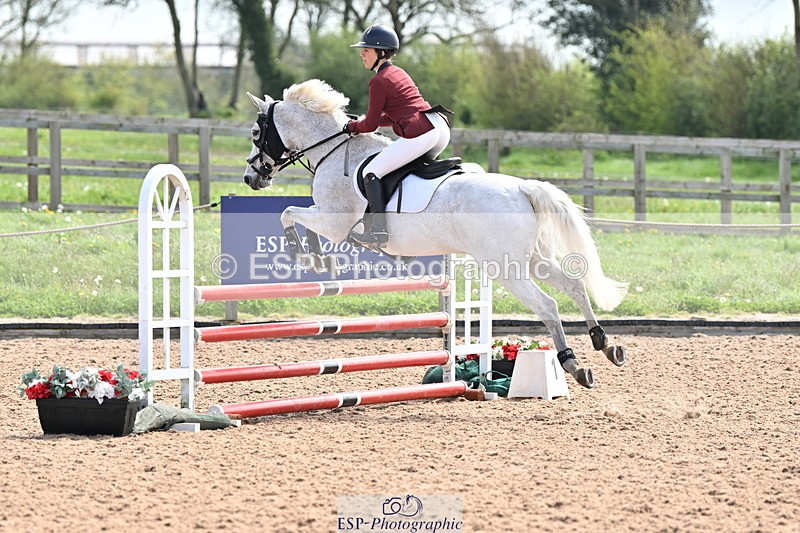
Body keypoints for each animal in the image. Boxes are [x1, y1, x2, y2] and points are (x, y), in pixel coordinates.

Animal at [242, 79, 629, 389]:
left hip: (506, 268)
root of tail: (522, 188)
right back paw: (605, 344)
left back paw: (572, 363)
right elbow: (300, 220)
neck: (333, 152)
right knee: (574, 286)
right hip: (532, 259)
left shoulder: (334, 223)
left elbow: (289, 214)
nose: (251, 178)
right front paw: (317, 259)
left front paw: (306, 256)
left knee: (548, 304)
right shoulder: (331, 222)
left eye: (256, 133)